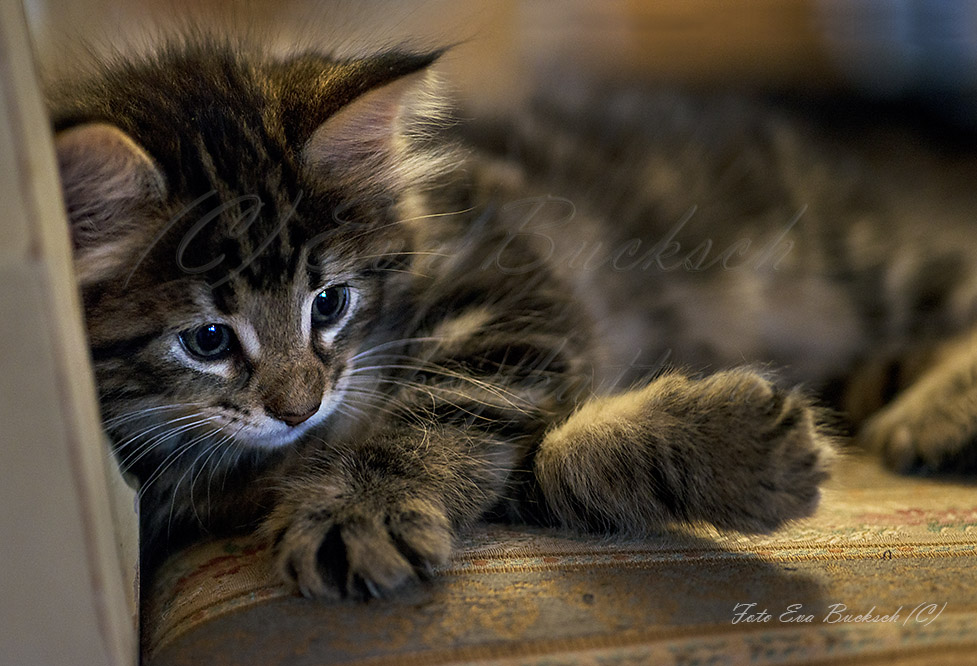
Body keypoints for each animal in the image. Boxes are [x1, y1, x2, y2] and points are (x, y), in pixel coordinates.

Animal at [49, 41, 972, 596]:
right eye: (207, 340)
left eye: (329, 302)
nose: (299, 403)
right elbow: (547, 465)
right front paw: (739, 452)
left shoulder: (514, 281)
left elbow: (447, 410)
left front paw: (359, 509)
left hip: (850, 255)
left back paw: (941, 412)